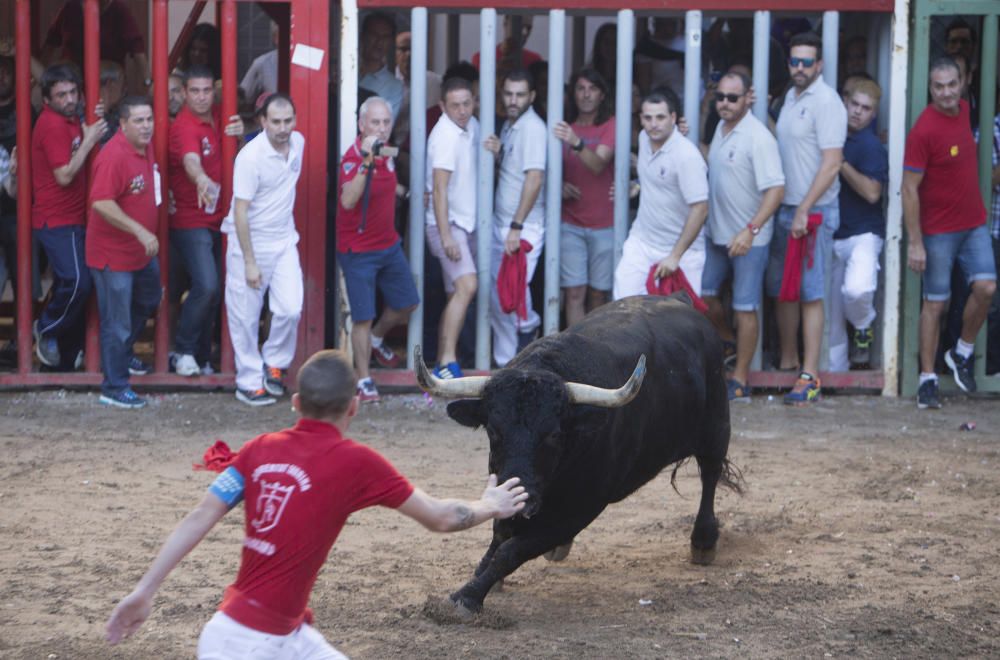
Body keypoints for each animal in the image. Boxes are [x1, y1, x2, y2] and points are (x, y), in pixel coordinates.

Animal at [414, 294, 744, 612]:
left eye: (554, 434)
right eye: (493, 430)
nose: (526, 501)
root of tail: (683, 301)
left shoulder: (584, 508)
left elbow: (513, 549)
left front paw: (468, 596)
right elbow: (501, 531)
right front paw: (483, 573)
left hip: (716, 426)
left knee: (710, 475)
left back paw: (703, 541)